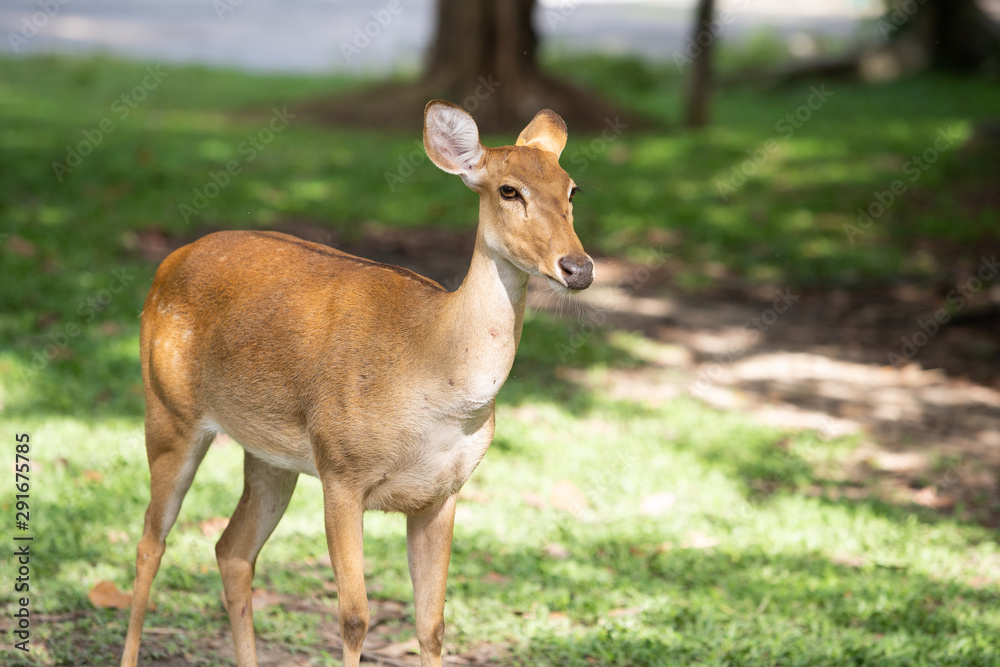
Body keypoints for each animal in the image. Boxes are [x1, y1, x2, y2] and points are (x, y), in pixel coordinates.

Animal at [122, 100, 596, 667]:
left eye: (573, 189)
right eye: (509, 190)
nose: (578, 267)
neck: (432, 370)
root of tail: (165, 266)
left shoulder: (444, 491)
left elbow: (432, 624)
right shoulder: (342, 470)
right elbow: (353, 618)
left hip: (269, 455)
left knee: (232, 550)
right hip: (168, 408)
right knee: (151, 541)